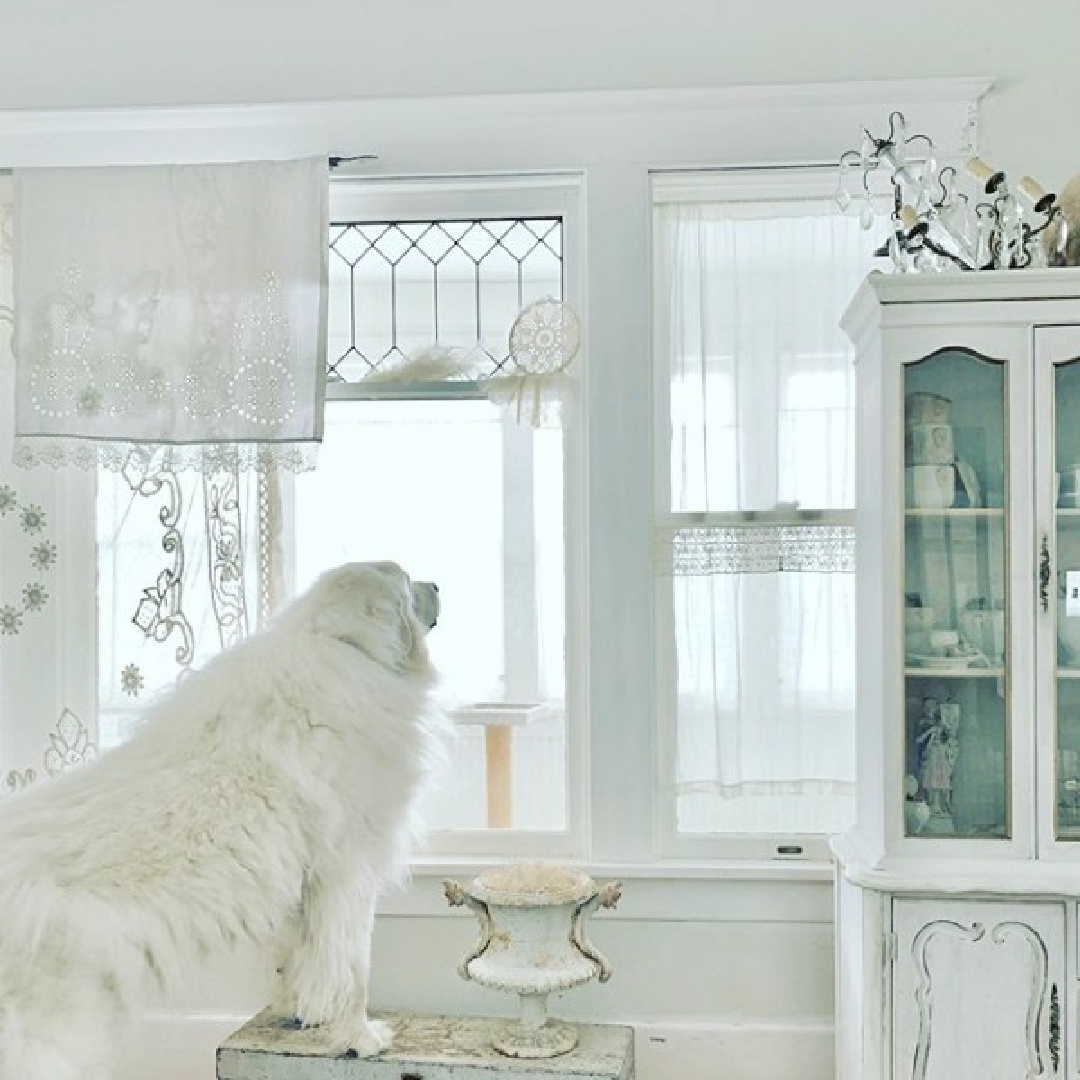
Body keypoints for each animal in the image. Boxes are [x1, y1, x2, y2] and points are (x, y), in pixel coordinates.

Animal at [0, 561, 442, 1080]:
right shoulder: (349, 872)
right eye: (408, 583)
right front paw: (360, 1039)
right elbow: (351, 970)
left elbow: (302, 961)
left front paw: (302, 1015)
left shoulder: (308, 881)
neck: (342, 643)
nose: (438, 585)